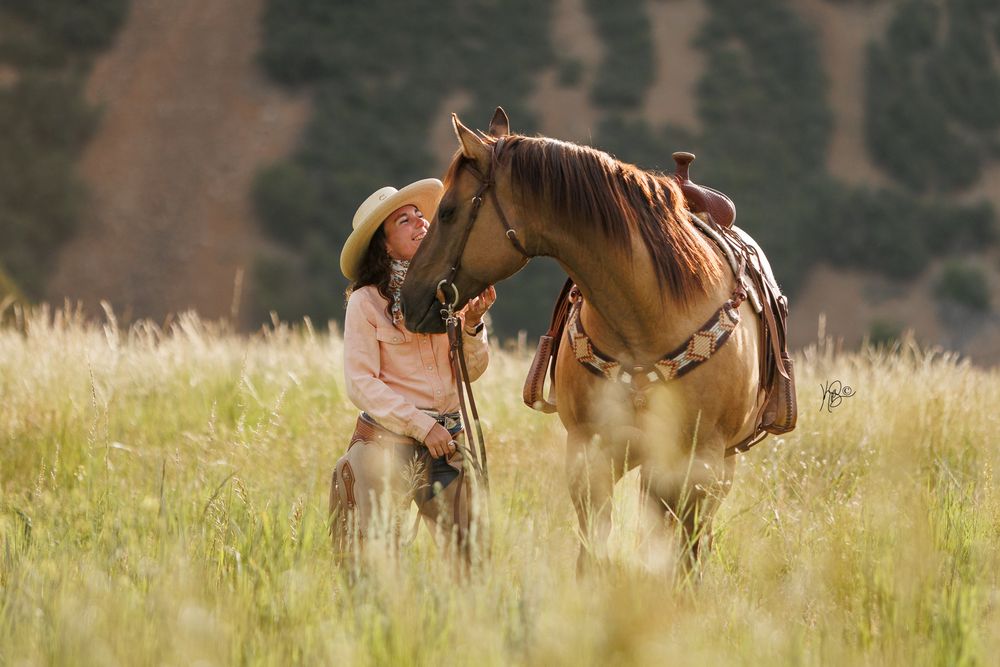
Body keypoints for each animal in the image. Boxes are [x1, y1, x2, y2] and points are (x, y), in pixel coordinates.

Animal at [401, 108, 784, 572]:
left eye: (448, 212)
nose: (409, 299)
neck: (645, 319)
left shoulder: (698, 464)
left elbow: (685, 559)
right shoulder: (589, 456)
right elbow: (593, 552)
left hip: (717, 466)